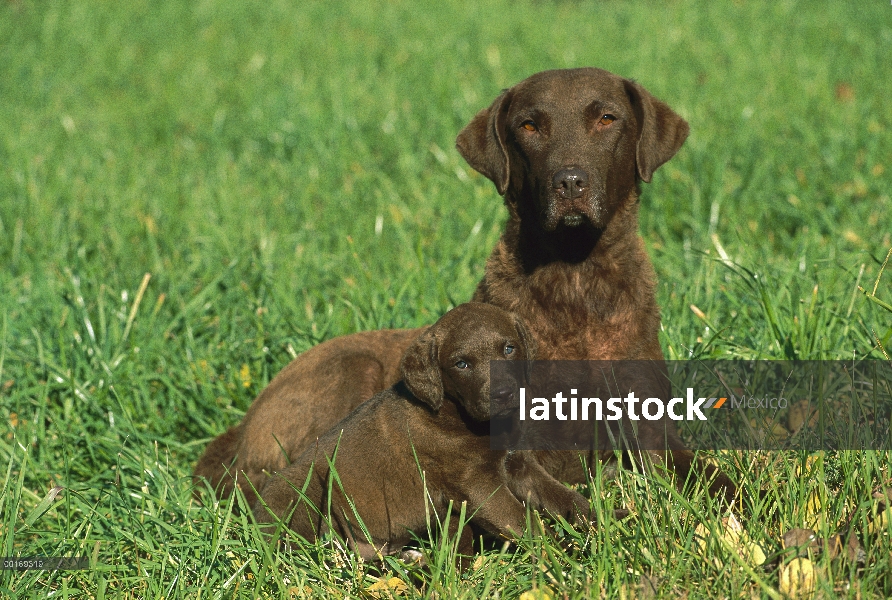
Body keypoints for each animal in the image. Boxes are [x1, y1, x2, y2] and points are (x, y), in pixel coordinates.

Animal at [199, 69, 736, 506]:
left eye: (607, 119)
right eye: (529, 126)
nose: (569, 183)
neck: (576, 281)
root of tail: (242, 425)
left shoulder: (649, 425)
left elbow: (712, 476)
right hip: (349, 370)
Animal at [249, 302, 592, 560]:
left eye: (509, 348)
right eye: (461, 364)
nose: (504, 394)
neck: (458, 412)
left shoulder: (519, 465)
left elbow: (562, 496)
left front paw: (599, 523)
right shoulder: (478, 485)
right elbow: (523, 521)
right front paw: (565, 557)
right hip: (304, 493)